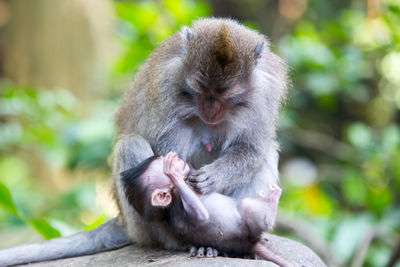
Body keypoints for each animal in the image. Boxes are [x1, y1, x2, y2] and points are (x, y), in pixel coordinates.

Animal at [120, 153, 292, 267]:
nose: (177, 158)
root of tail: (248, 243)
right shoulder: (177, 205)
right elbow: (201, 216)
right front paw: (172, 173)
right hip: (246, 229)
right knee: (249, 207)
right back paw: (271, 201)